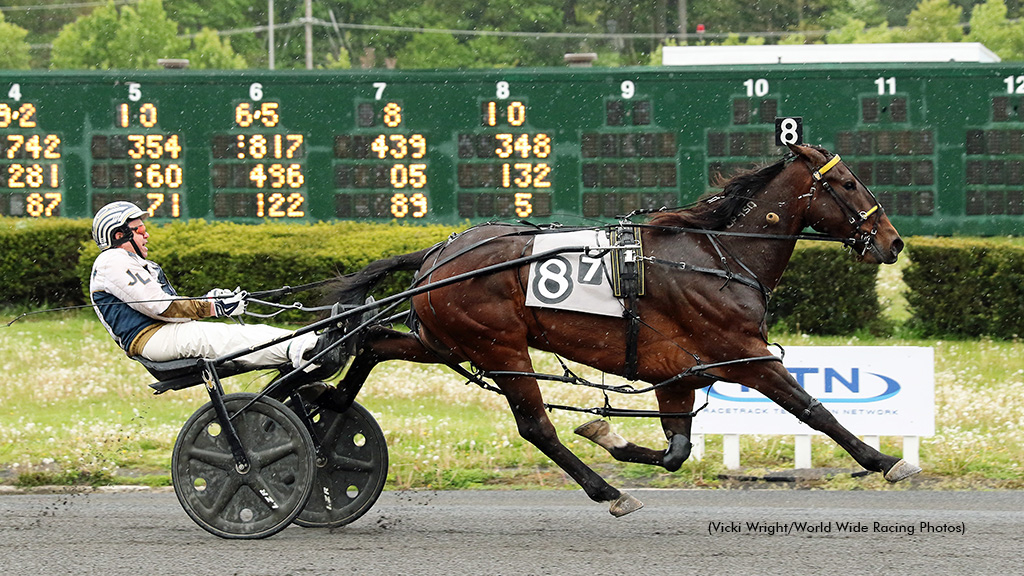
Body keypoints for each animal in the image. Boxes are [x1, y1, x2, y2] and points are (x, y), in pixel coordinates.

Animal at [329, 143, 921, 516]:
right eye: (848, 182)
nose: (893, 241)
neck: (717, 257)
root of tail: (437, 252)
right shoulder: (745, 355)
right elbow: (813, 410)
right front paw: (887, 461)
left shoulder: (678, 376)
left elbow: (676, 451)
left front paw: (607, 433)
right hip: (500, 347)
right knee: (536, 427)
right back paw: (609, 492)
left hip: (443, 340)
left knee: (371, 345)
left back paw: (330, 420)